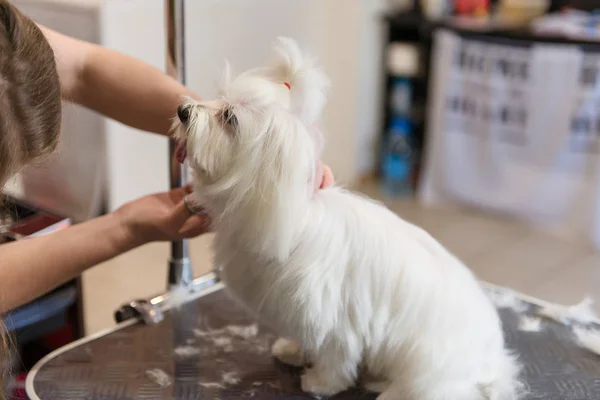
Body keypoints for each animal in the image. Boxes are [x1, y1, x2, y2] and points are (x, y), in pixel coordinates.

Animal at [172, 38, 520, 400]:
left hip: (427, 362)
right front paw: (293, 351)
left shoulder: (335, 321)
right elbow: (305, 338)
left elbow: (334, 356)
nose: (183, 111)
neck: (292, 218)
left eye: (230, 117)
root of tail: (492, 362)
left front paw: (321, 382)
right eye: (219, 97)